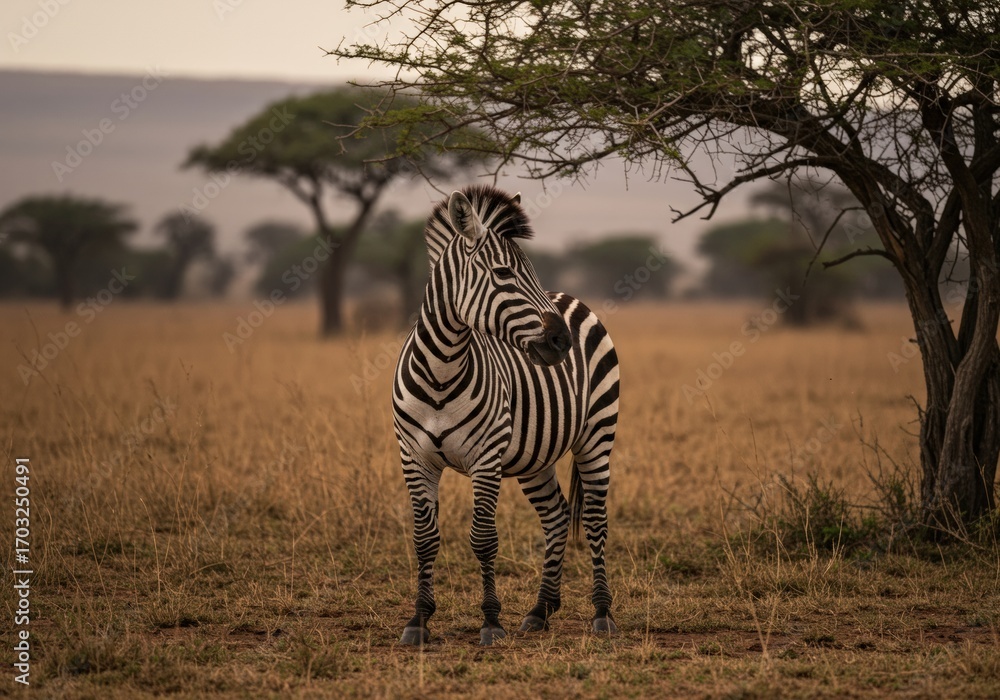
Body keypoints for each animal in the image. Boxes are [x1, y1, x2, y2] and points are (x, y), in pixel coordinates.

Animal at [392, 185, 620, 646]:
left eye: (530, 270)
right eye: (502, 273)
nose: (561, 340)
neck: (440, 371)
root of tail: (569, 298)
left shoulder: (486, 457)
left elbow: (483, 538)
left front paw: (490, 621)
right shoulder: (413, 457)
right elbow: (424, 538)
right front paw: (419, 619)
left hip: (597, 436)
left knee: (594, 518)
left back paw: (602, 613)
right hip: (535, 457)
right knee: (556, 517)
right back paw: (539, 610)